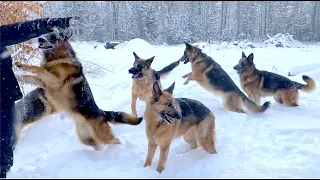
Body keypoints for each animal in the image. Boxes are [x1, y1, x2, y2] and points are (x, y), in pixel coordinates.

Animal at [14, 30, 142, 150]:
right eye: (45, 33)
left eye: (54, 37)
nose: (40, 39)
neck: (58, 58)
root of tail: (101, 112)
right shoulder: (44, 83)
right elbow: (28, 76)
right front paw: (17, 74)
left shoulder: (55, 82)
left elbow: (38, 69)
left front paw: (22, 66)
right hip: (87, 140)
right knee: (99, 146)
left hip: (103, 137)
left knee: (116, 141)